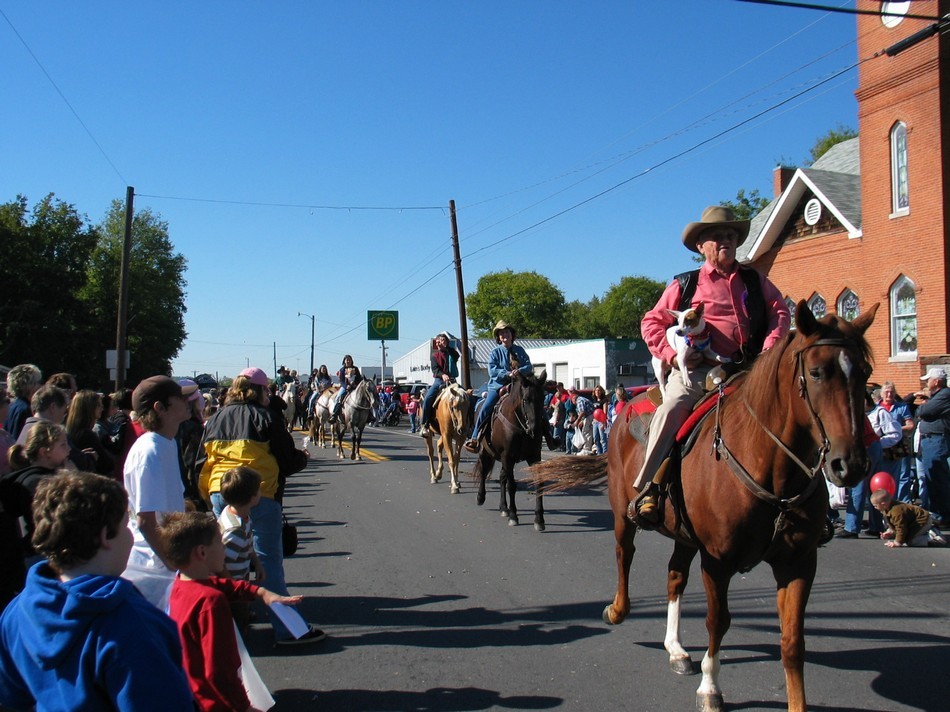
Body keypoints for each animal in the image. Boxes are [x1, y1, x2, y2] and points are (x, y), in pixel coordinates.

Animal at [470, 370, 548, 532]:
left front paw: (539, 519)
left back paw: (503, 508)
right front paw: (513, 516)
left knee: (502, 478)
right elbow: (511, 486)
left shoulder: (534, 456)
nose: (536, 430)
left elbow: (538, 483)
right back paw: (481, 497)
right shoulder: (507, 457)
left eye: (543, 398)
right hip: (485, 452)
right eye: (526, 399)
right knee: (483, 472)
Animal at [532, 300, 880, 712]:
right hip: (623, 514)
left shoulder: (799, 563)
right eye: (816, 372)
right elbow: (718, 620)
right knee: (624, 554)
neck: (771, 468)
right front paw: (710, 688)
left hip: (684, 534)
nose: (850, 464)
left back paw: (676, 649)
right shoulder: (717, 561)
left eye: (865, 373)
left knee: (674, 577)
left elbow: (793, 641)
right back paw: (618, 609)